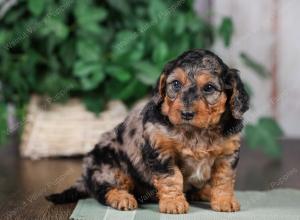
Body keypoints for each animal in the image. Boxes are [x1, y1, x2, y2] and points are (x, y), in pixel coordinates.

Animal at [46, 49, 248, 214]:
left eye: (209, 88)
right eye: (176, 84)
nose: (186, 114)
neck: (196, 132)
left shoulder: (228, 154)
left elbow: (223, 178)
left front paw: (224, 200)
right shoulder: (160, 150)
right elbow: (171, 178)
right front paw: (173, 203)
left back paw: (205, 191)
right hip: (108, 167)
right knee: (104, 190)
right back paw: (122, 198)